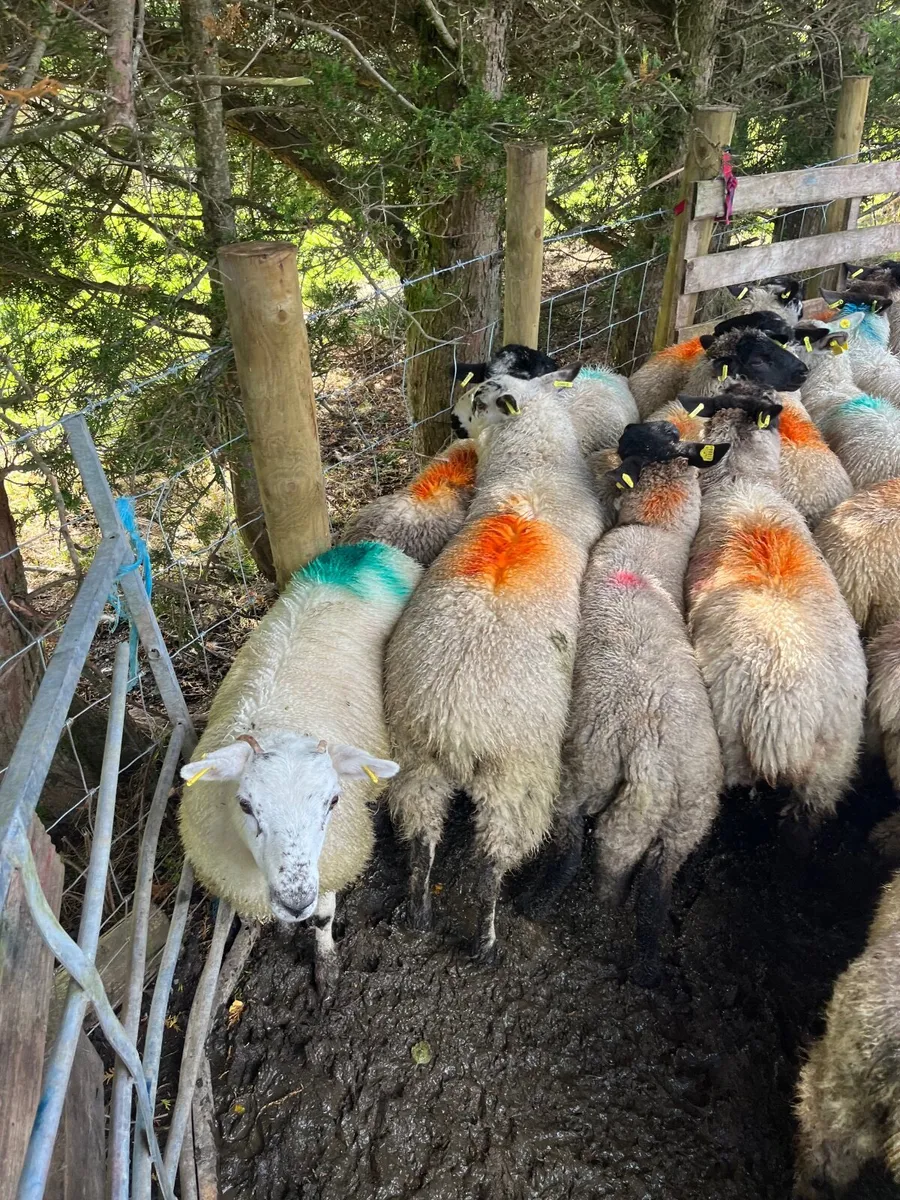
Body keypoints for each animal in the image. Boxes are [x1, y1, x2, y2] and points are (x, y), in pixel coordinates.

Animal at [178, 540, 422, 989]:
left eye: (333, 802)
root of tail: (368, 547)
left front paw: (325, 966)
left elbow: (323, 917)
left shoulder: (334, 862)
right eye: (245, 805)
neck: (279, 720)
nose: (295, 901)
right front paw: (286, 929)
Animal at [385, 372, 605, 962]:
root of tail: (454, 727)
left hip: (414, 760)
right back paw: (484, 941)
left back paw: (419, 914)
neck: (529, 476)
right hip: (516, 778)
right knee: (490, 865)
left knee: (422, 842)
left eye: (480, 398)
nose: (451, 416)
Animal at [528, 421, 727, 986]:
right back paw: (646, 969)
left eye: (634, 443)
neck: (657, 531)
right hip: (685, 824)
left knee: (577, 855)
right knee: (655, 897)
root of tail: (652, 769)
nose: (623, 431)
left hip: (584, 775)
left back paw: (536, 906)